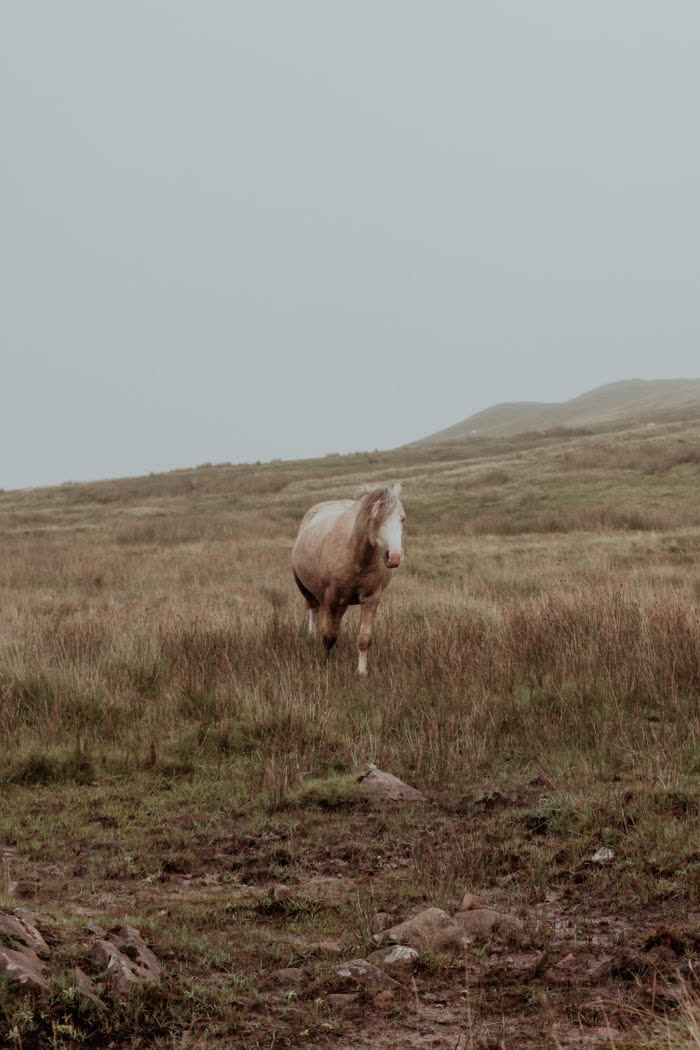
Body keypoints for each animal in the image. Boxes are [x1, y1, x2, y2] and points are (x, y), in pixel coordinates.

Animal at [291, 482, 406, 674]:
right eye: (374, 518)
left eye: (402, 519)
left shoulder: (371, 598)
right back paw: (312, 638)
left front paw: (361, 672)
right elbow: (329, 636)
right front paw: (326, 664)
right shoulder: (331, 597)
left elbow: (364, 639)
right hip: (308, 591)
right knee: (314, 611)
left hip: (343, 603)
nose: (394, 557)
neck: (357, 557)